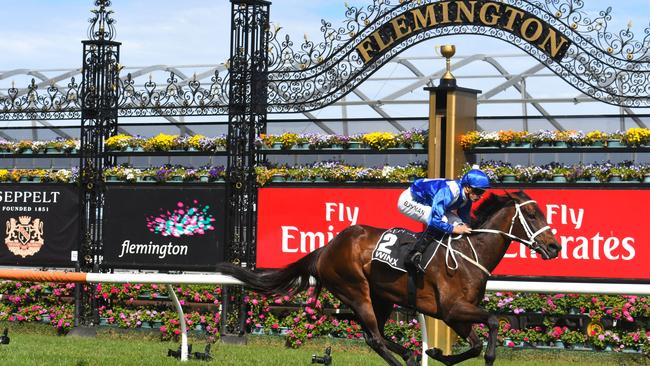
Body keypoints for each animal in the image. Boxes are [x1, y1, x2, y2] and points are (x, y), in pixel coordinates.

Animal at [215, 192, 560, 366]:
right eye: (532, 215)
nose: (555, 247)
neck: (468, 254)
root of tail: (327, 247)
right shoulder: (452, 309)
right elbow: (492, 322)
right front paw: (486, 356)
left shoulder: (454, 316)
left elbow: (475, 343)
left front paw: (437, 354)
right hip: (356, 292)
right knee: (374, 338)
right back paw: (404, 357)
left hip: (381, 298)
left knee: (376, 335)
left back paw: (410, 354)